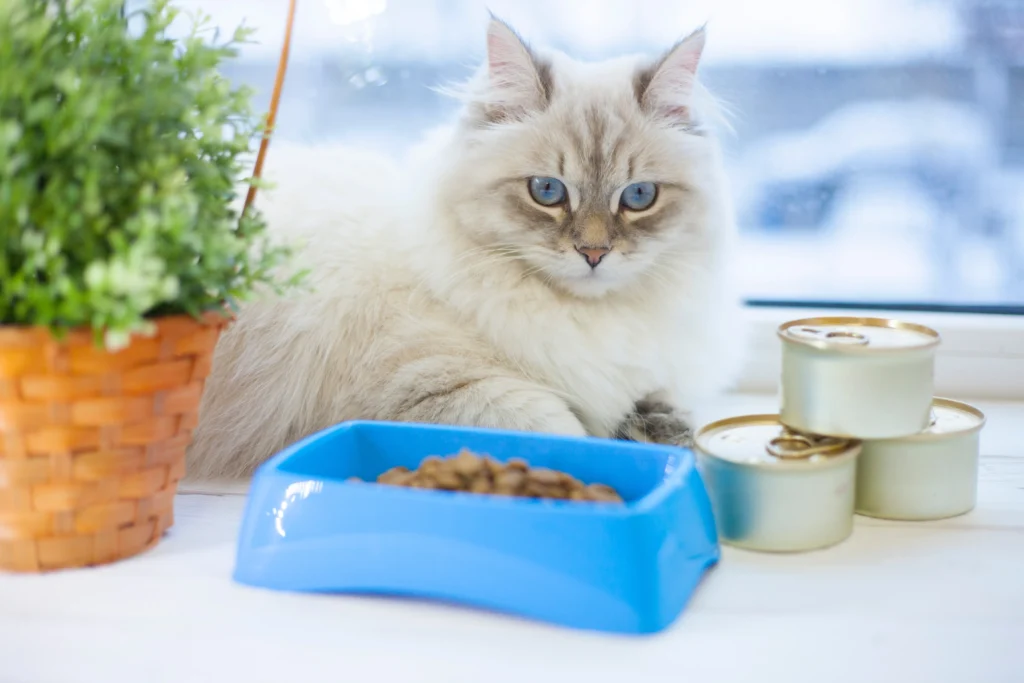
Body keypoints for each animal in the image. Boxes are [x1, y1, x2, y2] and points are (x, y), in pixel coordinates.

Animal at [186, 18, 745, 479]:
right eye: (547, 191)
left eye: (639, 197)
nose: (593, 253)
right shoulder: (438, 389)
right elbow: (567, 432)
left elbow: (662, 415)